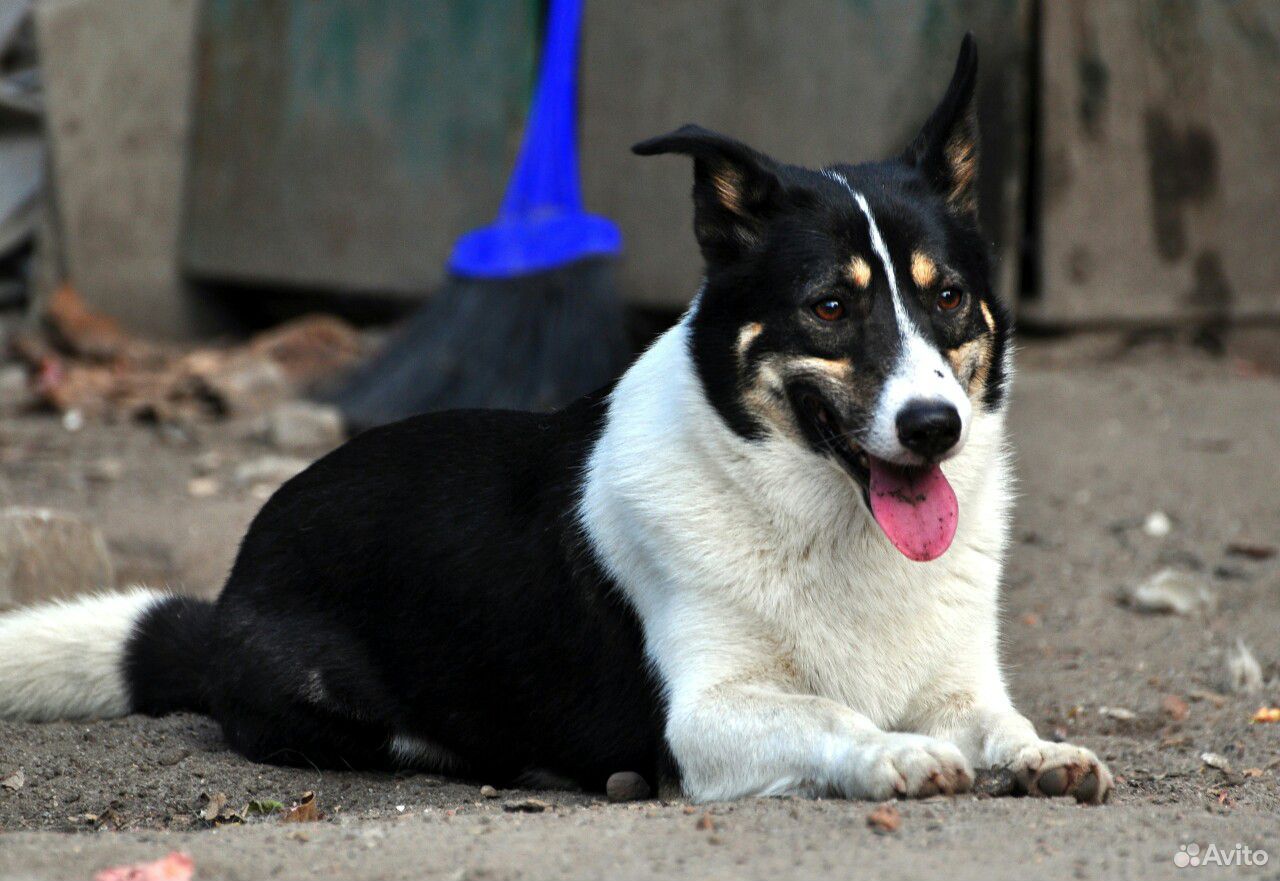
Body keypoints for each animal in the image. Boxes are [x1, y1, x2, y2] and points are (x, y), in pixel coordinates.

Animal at [0, 36, 1111, 804]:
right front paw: (894, 753)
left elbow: (996, 722)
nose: (933, 428)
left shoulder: (958, 681)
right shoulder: (706, 716)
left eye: (947, 298)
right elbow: (827, 709)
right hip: (332, 699)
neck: (817, 515)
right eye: (831, 307)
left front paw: (1040, 752)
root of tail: (229, 586)